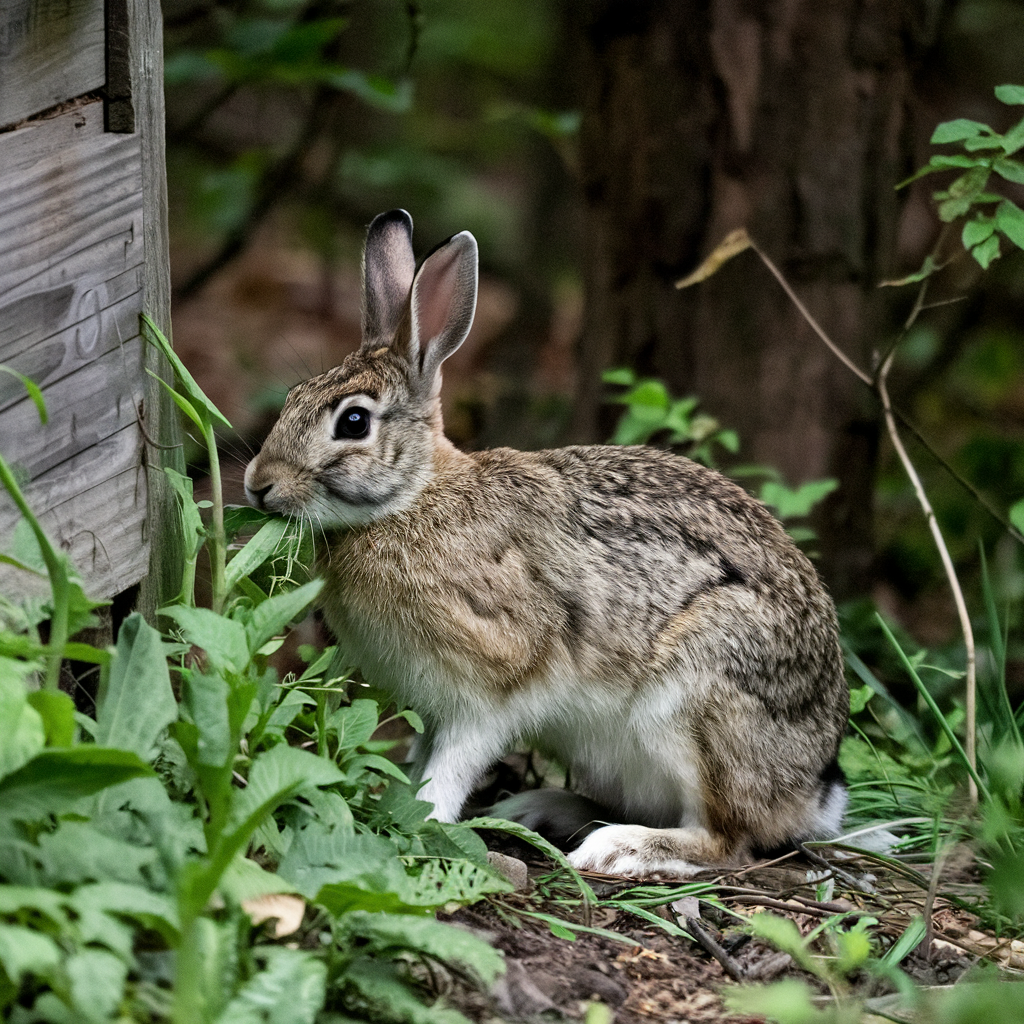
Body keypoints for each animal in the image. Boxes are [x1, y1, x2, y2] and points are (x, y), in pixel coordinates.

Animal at [244, 209, 850, 878]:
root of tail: (813, 787)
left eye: (352, 422)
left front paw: (420, 825)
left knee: (726, 840)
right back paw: (539, 809)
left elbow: (448, 769)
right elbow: (421, 756)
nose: (258, 484)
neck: (413, 499)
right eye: (294, 396)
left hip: (698, 704)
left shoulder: (489, 691)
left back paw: (618, 848)